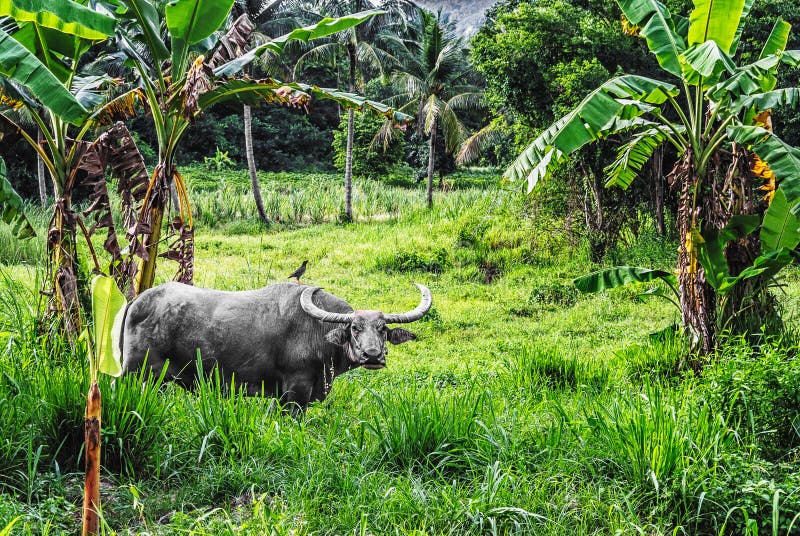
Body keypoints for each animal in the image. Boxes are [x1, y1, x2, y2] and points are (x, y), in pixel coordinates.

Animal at [119, 280, 432, 406]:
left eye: (383, 329)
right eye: (354, 328)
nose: (372, 355)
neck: (317, 331)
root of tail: (138, 302)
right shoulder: (296, 390)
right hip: (136, 374)